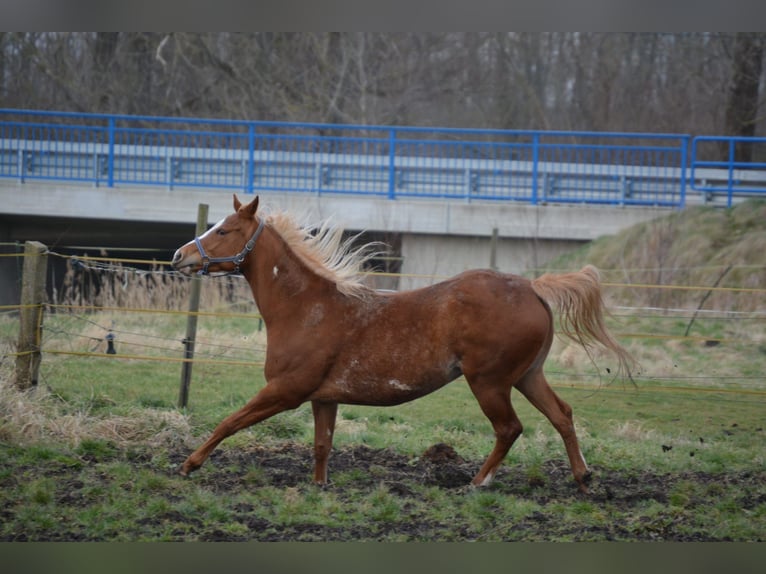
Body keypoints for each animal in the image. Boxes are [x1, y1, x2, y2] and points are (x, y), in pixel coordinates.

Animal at [171, 194, 635, 493]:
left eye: (225, 230)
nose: (179, 256)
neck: (307, 308)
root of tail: (532, 288)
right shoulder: (324, 397)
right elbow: (322, 446)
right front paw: (319, 487)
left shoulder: (285, 391)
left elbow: (230, 422)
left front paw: (188, 465)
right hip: (527, 376)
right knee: (562, 415)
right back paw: (584, 479)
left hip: (489, 382)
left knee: (510, 428)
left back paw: (478, 482)